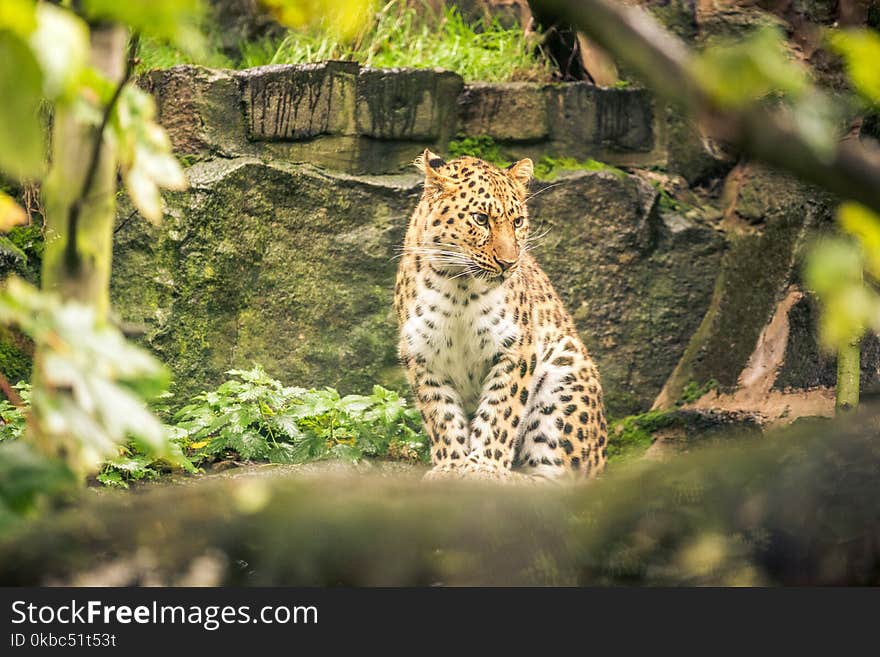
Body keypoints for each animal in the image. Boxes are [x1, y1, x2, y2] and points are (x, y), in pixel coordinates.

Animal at [396, 150, 608, 482]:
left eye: (518, 221)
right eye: (480, 219)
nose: (509, 263)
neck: (459, 289)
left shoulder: (516, 351)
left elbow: (500, 412)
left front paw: (484, 466)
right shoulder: (421, 355)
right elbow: (441, 415)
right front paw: (451, 465)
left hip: (566, 373)